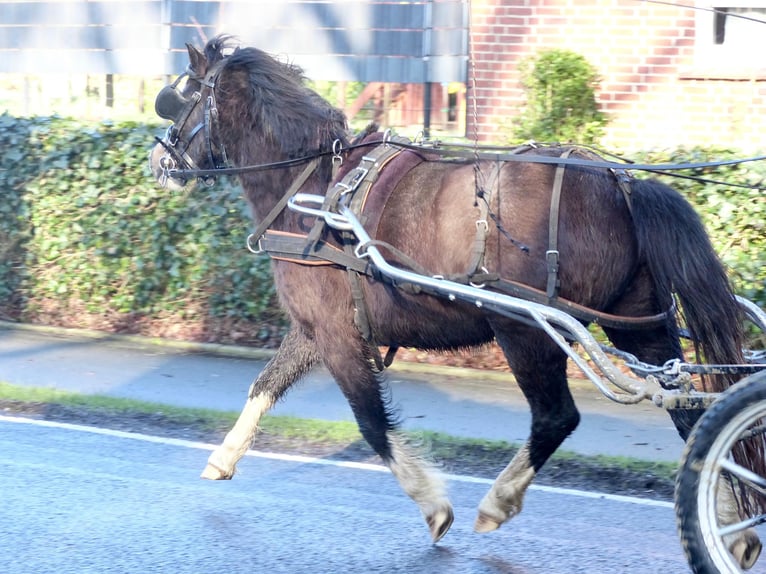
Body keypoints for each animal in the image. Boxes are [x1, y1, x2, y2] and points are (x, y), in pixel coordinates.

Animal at [148, 35, 756, 560]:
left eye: (182, 96)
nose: (159, 161)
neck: (313, 185)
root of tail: (619, 182)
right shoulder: (314, 329)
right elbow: (265, 383)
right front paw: (224, 454)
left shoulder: (338, 335)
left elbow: (371, 423)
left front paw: (435, 507)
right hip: (639, 321)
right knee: (687, 409)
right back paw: (732, 520)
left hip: (524, 328)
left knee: (557, 417)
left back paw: (499, 501)